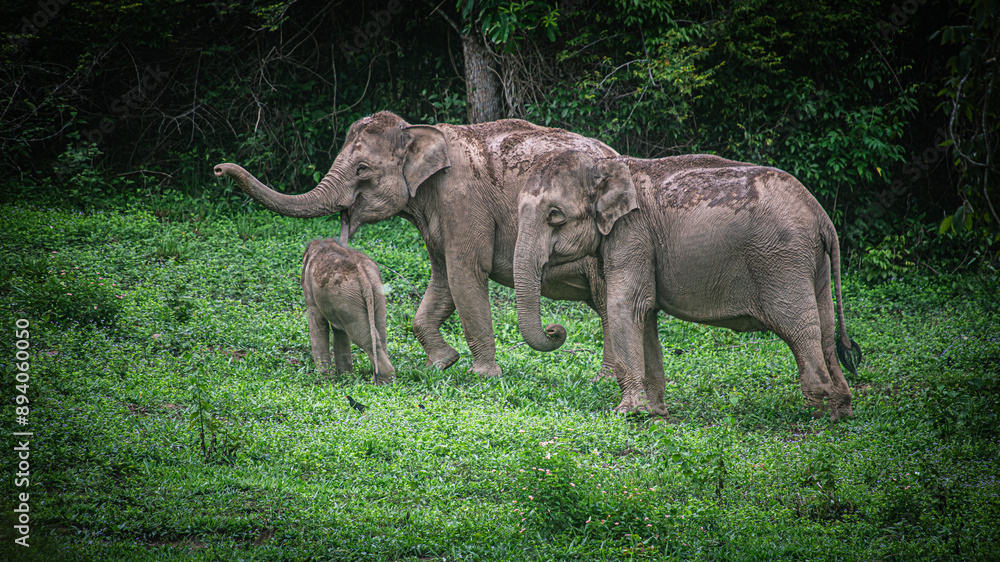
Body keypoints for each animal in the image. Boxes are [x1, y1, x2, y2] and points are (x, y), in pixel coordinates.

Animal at [302, 238, 395, 384]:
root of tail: (363, 274)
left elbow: (318, 322)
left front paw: (325, 379)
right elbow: (339, 331)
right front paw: (346, 377)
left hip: (347, 297)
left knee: (365, 337)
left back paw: (382, 382)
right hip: (375, 294)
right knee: (380, 332)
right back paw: (382, 381)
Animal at [513, 151, 862, 421]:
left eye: (555, 216)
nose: (555, 330)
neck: (605, 166)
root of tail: (821, 215)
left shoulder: (632, 233)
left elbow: (625, 305)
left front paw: (627, 413)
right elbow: (645, 313)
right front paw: (655, 413)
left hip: (782, 261)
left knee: (799, 329)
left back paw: (816, 413)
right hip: (813, 265)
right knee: (825, 329)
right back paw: (841, 410)